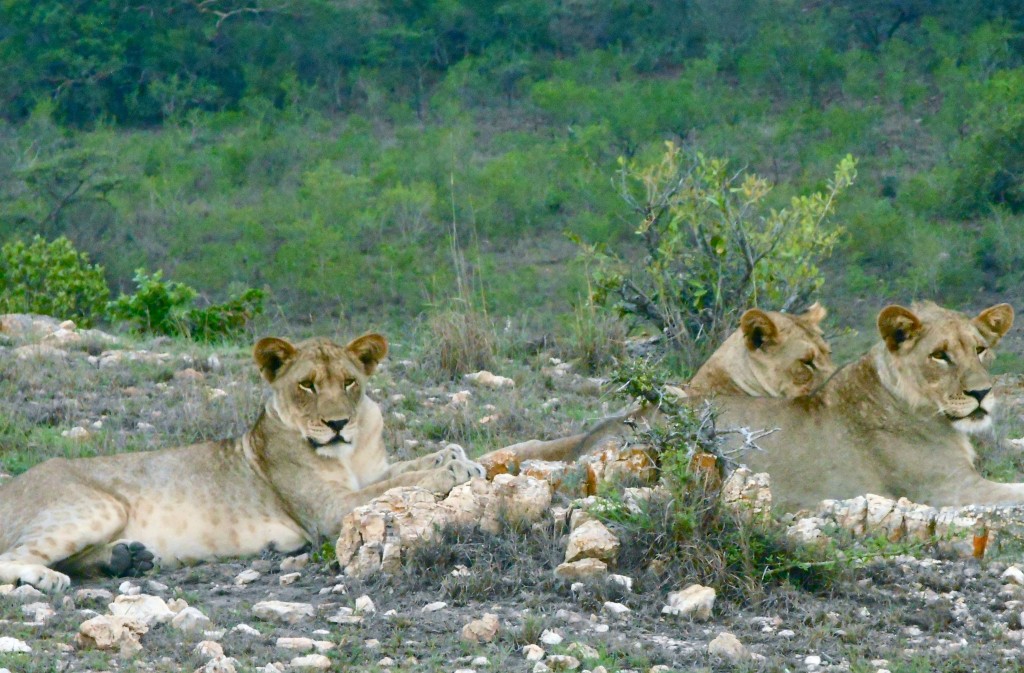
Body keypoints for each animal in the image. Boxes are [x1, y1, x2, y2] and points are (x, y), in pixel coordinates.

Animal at [0, 334, 483, 592]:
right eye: (307, 385)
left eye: (350, 382)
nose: (338, 423)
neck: (347, 450)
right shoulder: (327, 511)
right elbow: (393, 485)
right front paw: (451, 469)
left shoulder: (369, 471)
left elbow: (398, 471)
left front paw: (459, 457)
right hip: (99, 507)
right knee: (13, 556)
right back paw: (47, 578)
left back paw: (125, 559)